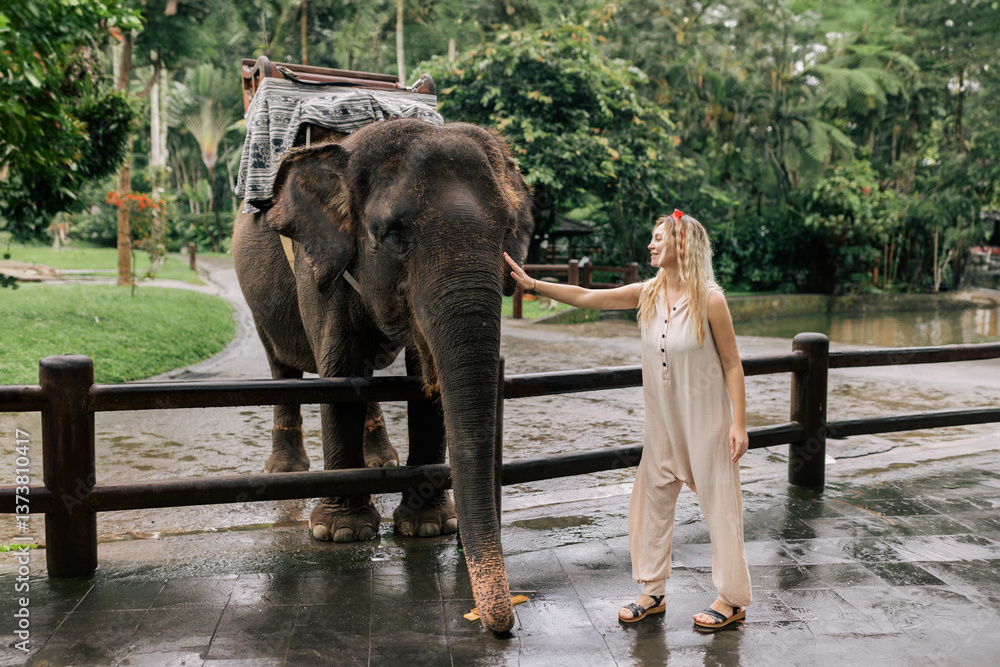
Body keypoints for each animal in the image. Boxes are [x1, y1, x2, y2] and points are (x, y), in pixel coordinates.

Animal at [232, 117, 533, 634]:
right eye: (393, 234)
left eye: (508, 231)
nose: (499, 623)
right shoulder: (321, 266)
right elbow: (339, 370)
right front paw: (340, 533)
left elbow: (422, 374)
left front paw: (429, 527)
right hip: (260, 304)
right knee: (283, 364)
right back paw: (287, 471)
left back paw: (380, 460)